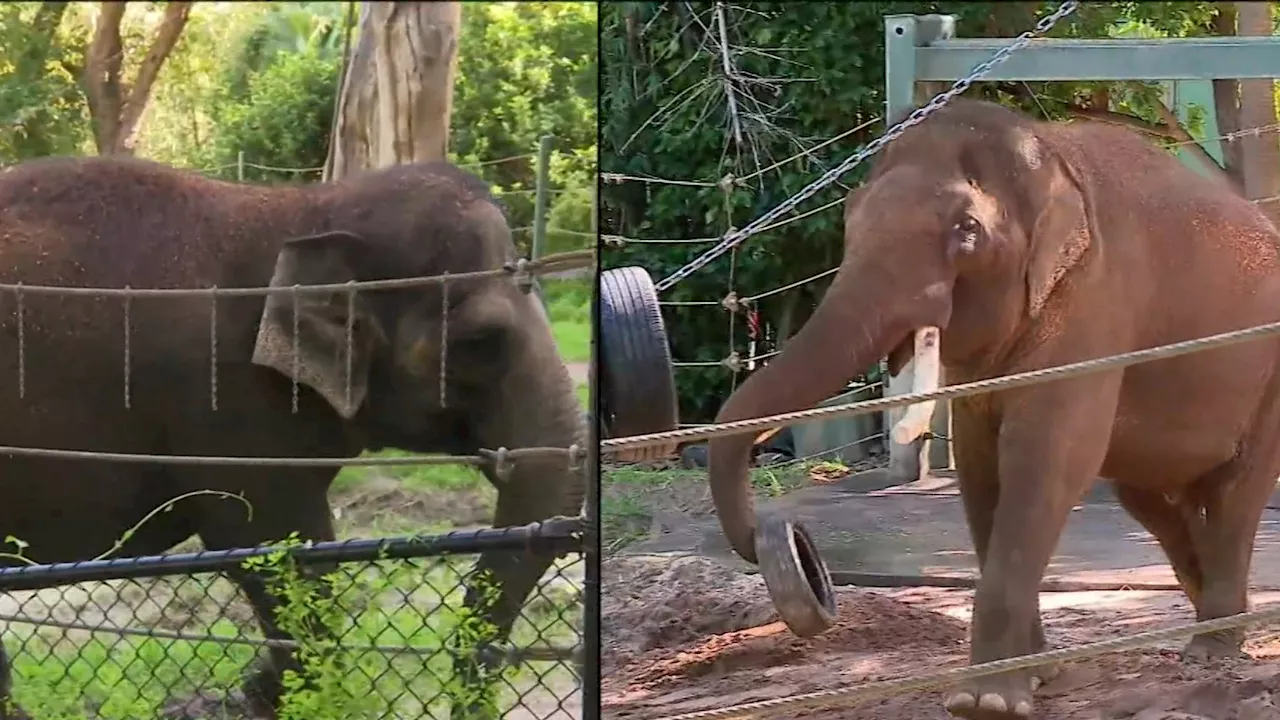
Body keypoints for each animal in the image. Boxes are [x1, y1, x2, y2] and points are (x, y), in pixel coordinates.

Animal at [706, 98, 1280, 712]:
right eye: (849, 220)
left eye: (968, 230)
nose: (793, 544)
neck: (1045, 150)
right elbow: (982, 468)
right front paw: (1039, 679)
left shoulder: (1095, 302)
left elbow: (1046, 460)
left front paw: (986, 703)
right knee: (1153, 497)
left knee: (1234, 493)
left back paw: (1212, 649)